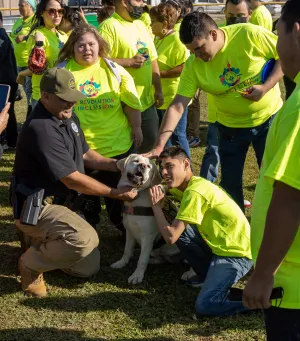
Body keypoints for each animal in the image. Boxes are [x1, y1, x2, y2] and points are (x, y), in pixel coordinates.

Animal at [110, 154, 179, 284]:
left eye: (148, 166)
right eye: (135, 161)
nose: (142, 166)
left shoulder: (147, 237)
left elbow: (142, 260)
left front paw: (137, 276)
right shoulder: (129, 232)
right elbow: (127, 251)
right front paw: (121, 263)